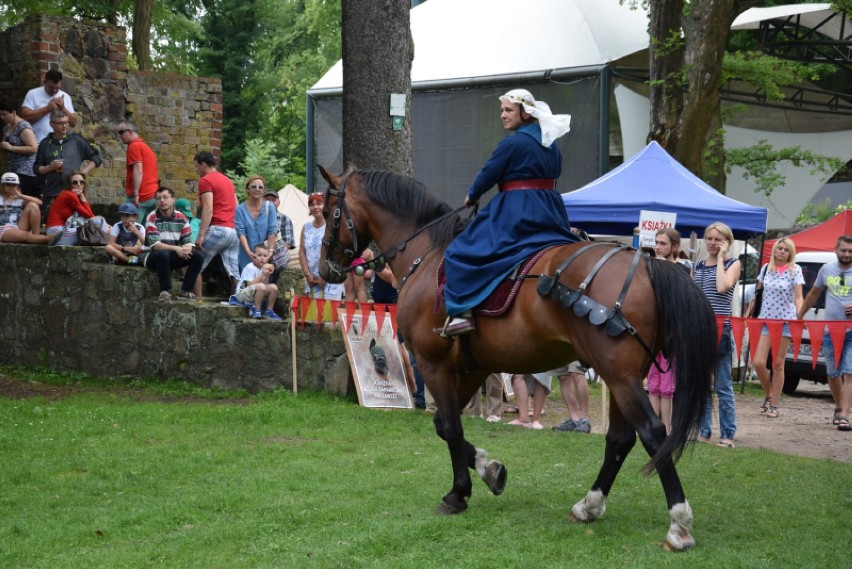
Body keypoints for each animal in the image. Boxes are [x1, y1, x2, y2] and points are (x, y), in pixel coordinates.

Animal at [316, 165, 716, 552]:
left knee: (653, 433)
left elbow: (450, 427)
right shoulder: (473, 368)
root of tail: (647, 265)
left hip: (619, 376)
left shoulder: (434, 363)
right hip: (622, 377)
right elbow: (446, 427)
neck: (426, 255)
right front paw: (489, 469)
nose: (323, 268)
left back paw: (679, 524)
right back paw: (589, 505)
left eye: (328, 211)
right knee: (620, 439)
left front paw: (458, 493)